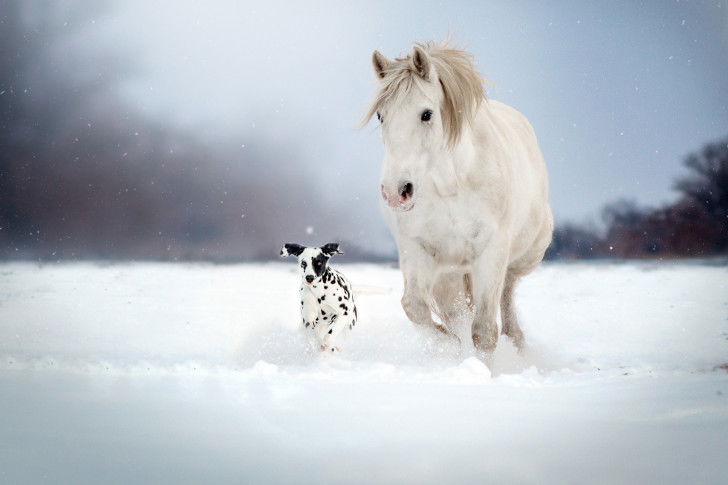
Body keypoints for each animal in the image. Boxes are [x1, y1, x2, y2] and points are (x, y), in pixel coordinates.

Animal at [363, 42, 553, 357]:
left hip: (523, 255)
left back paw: (517, 343)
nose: (396, 192)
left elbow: (484, 331)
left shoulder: (492, 249)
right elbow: (415, 307)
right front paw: (450, 345)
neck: (450, 184)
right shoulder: (417, 249)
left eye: (426, 114)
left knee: (508, 290)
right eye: (381, 115)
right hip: (450, 272)